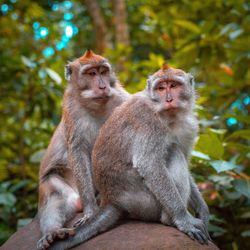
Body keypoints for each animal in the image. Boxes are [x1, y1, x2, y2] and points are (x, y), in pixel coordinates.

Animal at [37, 49, 131, 249]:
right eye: (91, 73)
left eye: (103, 71)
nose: (103, 86)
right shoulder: (71, 109)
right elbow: (78, 152)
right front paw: (90, 212)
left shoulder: (123, 98)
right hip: (57, 180)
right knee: (60, 198)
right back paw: (53, 233)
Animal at [48, 65, 211, 250]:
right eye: (161, 88)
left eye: (174, 85)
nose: (169, 99)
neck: (169, 116)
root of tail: (111, 199)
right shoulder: (148, 122)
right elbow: (150, 165)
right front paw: (184, 219)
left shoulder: (189, 127)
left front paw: (203, 210)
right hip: (143, 202)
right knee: (173, 152)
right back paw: (170, 219)